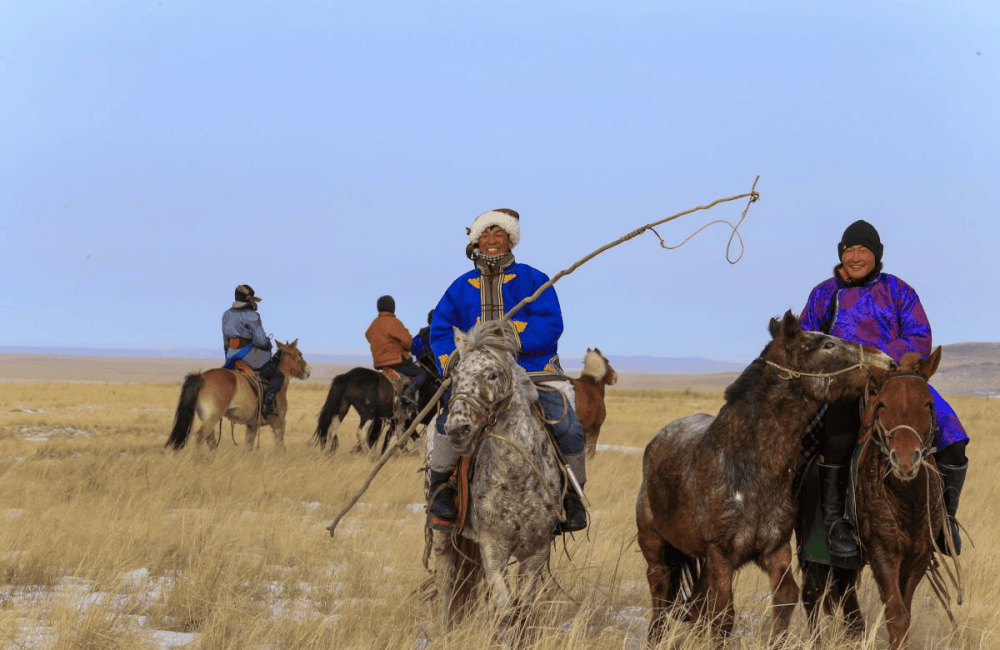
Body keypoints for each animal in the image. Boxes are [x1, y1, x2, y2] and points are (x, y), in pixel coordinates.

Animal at [162, 340, 310, 450]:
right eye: (299, 354)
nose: (308, 371)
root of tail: (201, 377)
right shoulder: (279, 423)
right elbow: (281, 448)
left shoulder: (252, 425)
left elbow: (248, 447)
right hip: (213, 417)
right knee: (200, 437)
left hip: (206, 416)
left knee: (210, 440)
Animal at [430, 318, 568, 636]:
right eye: (456, 375)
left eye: (492, 374)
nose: (457, 429)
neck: (516, 478)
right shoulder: (493, 547)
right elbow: (505, 610)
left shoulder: (538, 551)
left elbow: (524, 609)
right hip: (443, 535)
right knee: (446, 581)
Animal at [632, 310, 892, 644]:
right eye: (827, 344)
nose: (887, 362)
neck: (747, 467)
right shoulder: (720, 554)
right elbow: (724, 614)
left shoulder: (774, 550)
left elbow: (785, 596)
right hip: (654, 543)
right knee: (661, 589)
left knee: (695, 601)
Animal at [796, 346, 952, 648]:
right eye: (883, 405)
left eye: (927, 404)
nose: (905, 460)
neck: (908, 499)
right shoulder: (883, 552)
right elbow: (896, 614)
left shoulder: (919, 556)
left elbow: (904, 612)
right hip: (813, 553)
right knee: (812, 595)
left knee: (845, 598)